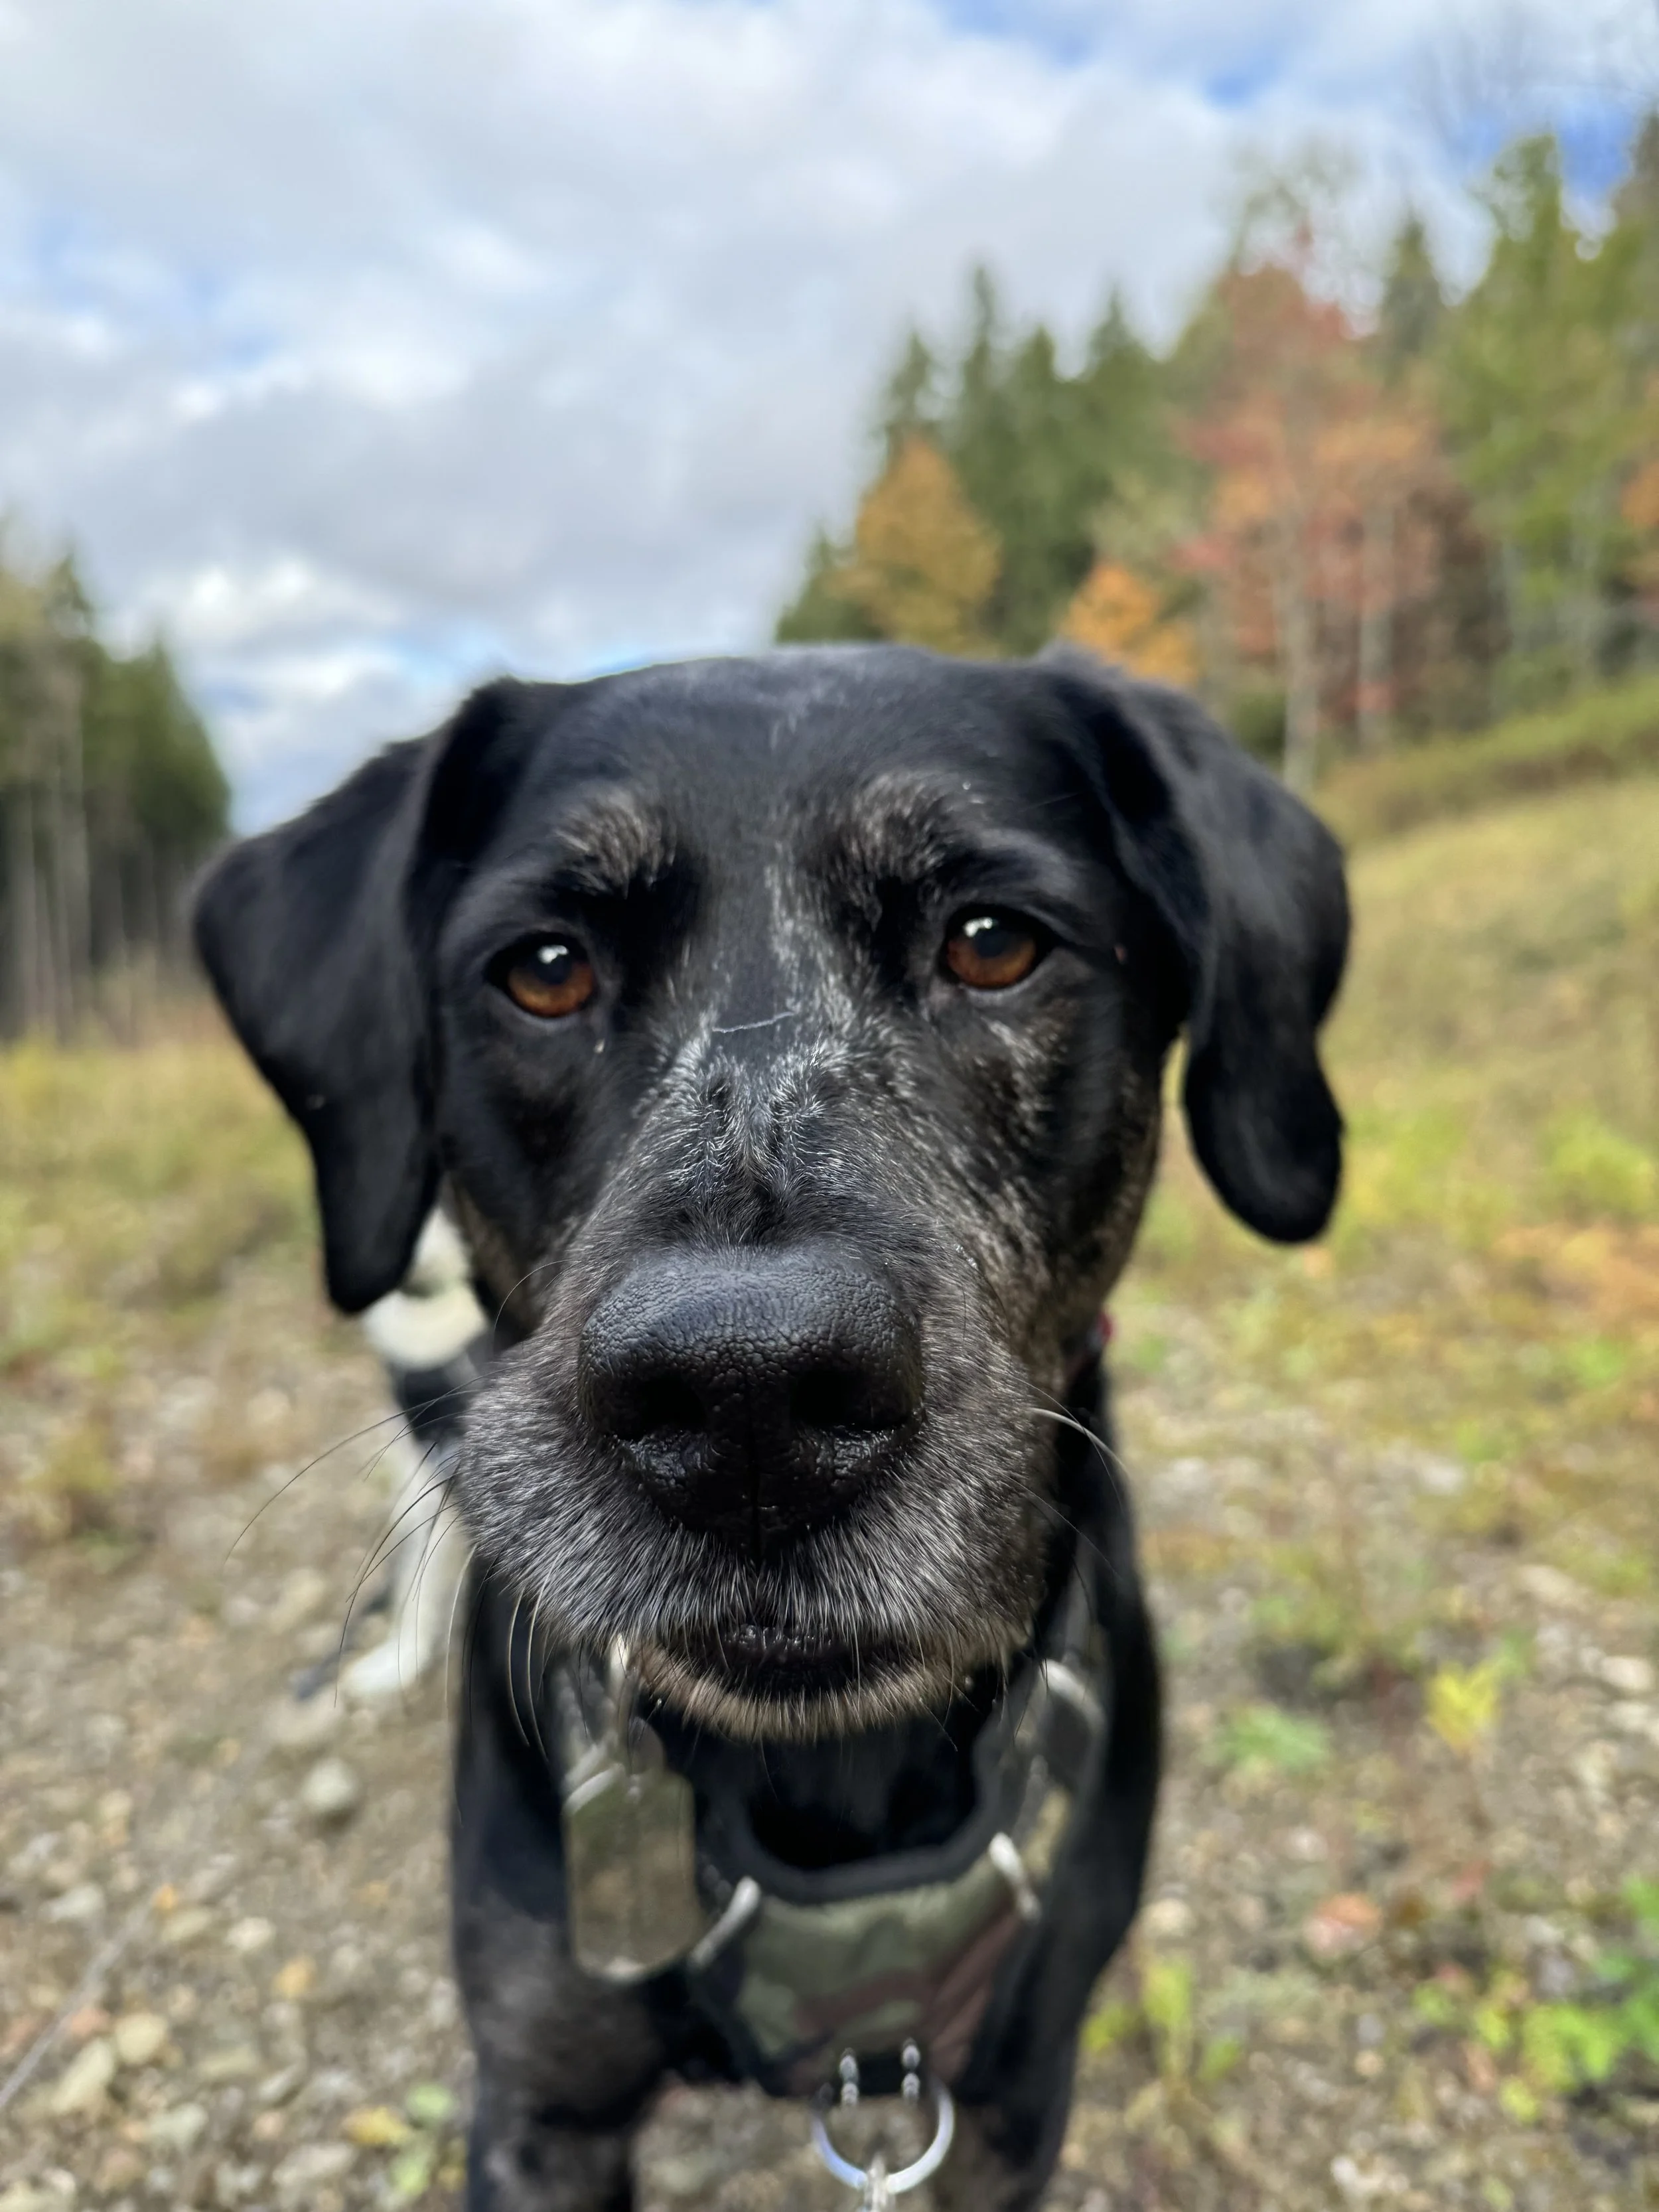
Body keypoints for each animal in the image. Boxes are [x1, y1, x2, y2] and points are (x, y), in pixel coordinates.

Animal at [194, 642, 1347, 2211]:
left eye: (995, 942)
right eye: (545, 968)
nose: (746, 1399)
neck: (822, 1778)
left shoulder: (1008, 2101)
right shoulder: (544, 2101)